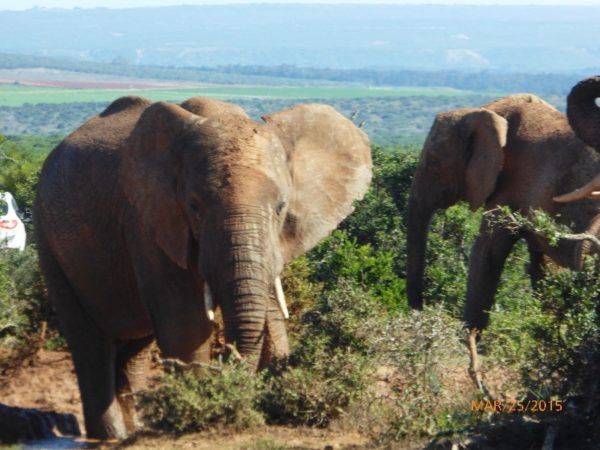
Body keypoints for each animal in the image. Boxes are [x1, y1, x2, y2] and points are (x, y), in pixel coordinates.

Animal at [34, 97, 370, 440]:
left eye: (281, 207)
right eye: (194, 207)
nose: (235, 379)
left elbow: (271, 313)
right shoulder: (146, 221)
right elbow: (185, 322)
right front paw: (201, 414)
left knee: (132, 348)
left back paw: (134, 430)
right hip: (48, 239)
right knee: (89, 343)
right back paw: (112, 436)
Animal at [406, 92, 600, 334]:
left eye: (434, 161)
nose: (421, 309)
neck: (488, 112)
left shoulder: (511, 183)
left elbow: (486, 254)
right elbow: (545, 267)